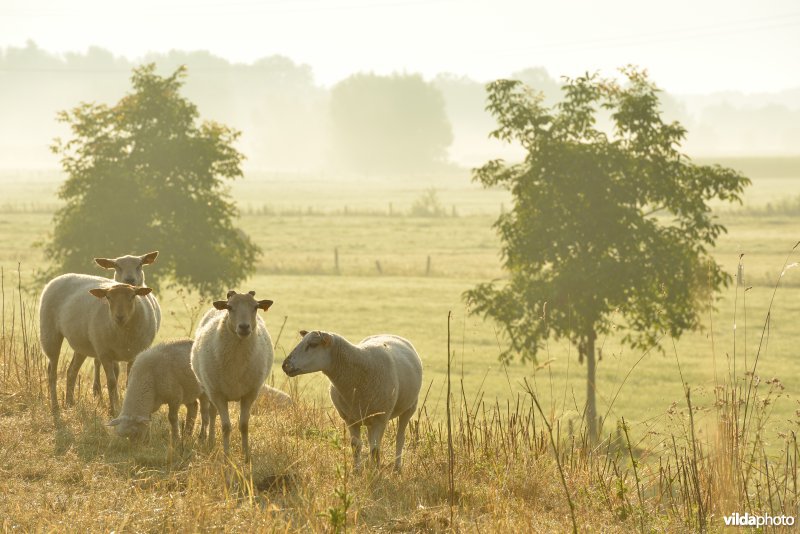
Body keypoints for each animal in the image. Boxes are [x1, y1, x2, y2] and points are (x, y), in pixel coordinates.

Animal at [38, 278, 160, 416]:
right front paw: (113, 410)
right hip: (50, 333)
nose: (119, 317)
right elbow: (111, 383)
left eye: (132, 296)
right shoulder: (104, 353)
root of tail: (57, 279)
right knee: (52, 373)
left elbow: (129, 383)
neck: (122, 331)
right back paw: (55, 407)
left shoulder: (135, 355)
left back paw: (70, 404)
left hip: (81, 345)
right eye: (108, 297)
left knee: (71, 371)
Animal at [189, 288, 276, 464]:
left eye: (256, 307)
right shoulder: (218, 394)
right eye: (229, 307)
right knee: (212, 413)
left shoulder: (250, 394)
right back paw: (211, 442)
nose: (244, 327)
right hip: (209, 388)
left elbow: (244, 425)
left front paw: (246, 457)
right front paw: (226, 456)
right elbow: (226, 426)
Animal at [282, 328, 424, 472]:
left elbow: (375, 450)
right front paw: (357, 471)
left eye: (313, 345)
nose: (285, 365)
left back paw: (397, 467)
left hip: (410, 407)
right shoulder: (350, 419)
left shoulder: (381, 418)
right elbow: (356, 446)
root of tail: (389, 334)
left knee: (400, 438)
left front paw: (375, 472)